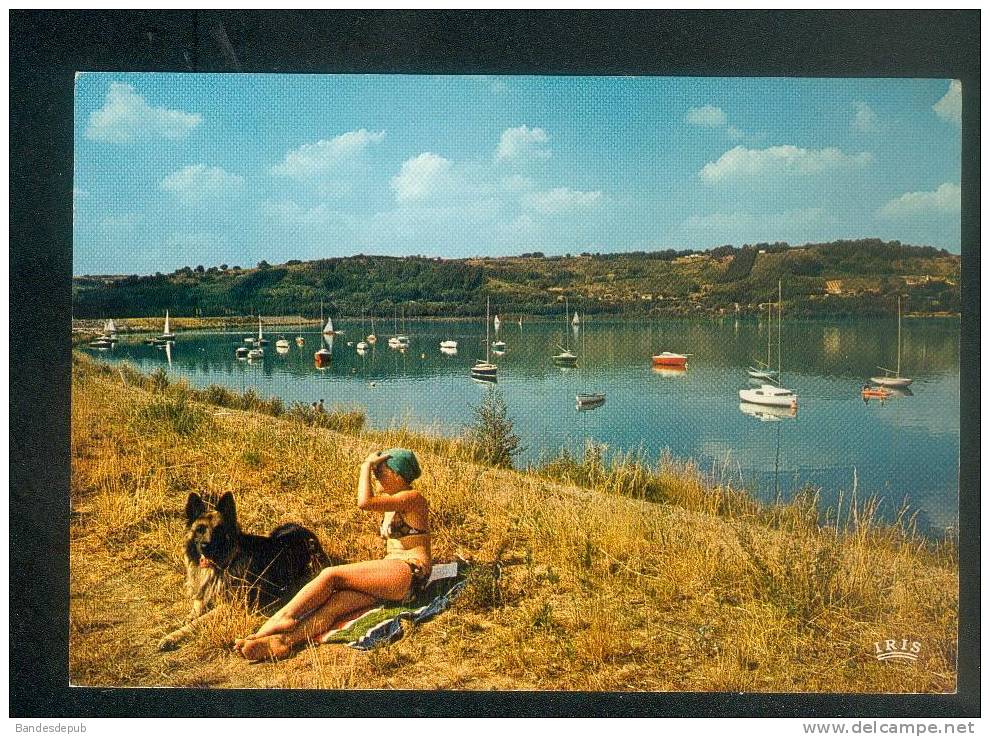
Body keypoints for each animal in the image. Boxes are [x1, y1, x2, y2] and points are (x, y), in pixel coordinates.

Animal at [158, 492, 334, 648]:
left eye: (218, 530)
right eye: (200, 529)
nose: (205, 547)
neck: (223, 565)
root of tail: (306, 531)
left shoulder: (228, 606)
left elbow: (197, 621)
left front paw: (172, 636)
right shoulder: (204, 593)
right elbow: (196, 608)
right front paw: (184, 620)